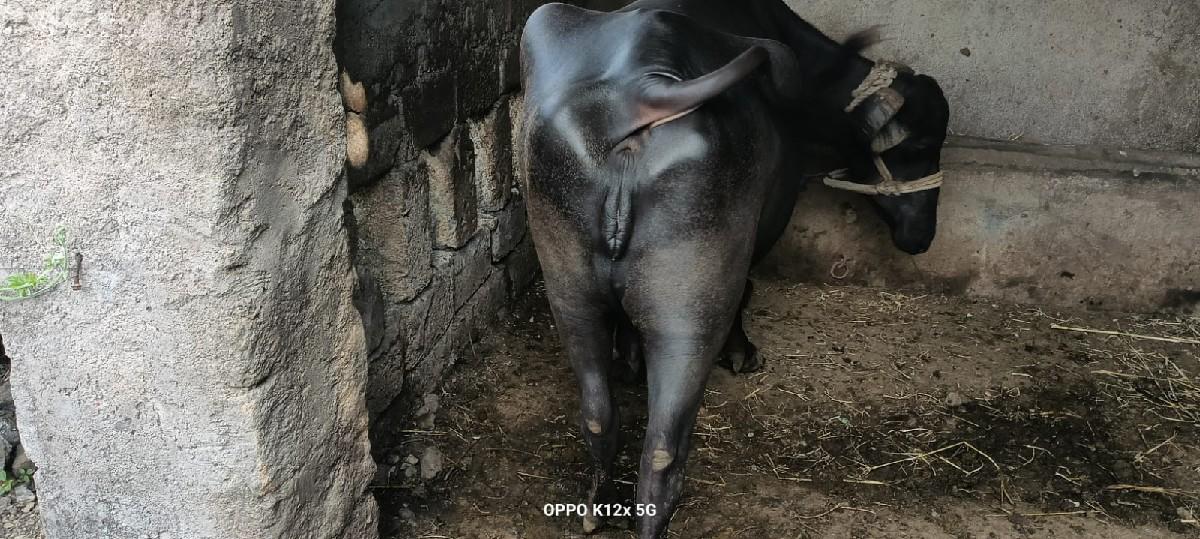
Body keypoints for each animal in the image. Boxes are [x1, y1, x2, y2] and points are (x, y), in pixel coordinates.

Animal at [518, 1, 949, 537]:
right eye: (916, 148)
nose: (921, 236)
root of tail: (644, 89)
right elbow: (747, 285)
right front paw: (742, 352)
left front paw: (630, 362)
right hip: (690, 316)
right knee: (662, 451)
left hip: (570, 296)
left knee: (599, 418)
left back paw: (595, 509)